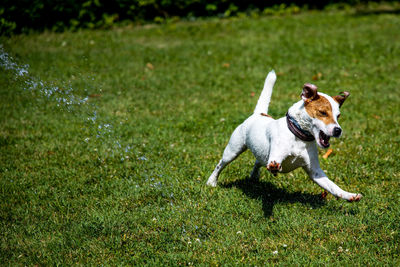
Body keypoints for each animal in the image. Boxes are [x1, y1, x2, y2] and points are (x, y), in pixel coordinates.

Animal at [206, 70, 362, 202]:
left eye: (338, 116)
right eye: (322, 112)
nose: (338, 130)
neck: (299, 137)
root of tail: (259, 114)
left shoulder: (315, 172)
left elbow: (333, 187)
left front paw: (349, 195)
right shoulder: (275, 155)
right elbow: (274, 162)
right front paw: (275, 167)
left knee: (258, 161)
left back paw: (254, 176)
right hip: (233, 150)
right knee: (220, 164)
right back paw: (211, 182)